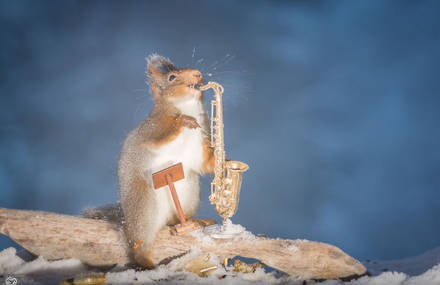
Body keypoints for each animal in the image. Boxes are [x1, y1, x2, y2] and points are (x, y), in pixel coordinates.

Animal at [116, 54, 214, 268]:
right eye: (171, 77)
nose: (198, 73)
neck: (187, 106)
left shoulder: (198, 145)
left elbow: (204, 163)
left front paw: (224, 159)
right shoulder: (152, 129)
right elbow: (161, 136)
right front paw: (183, 121)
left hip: (189, 191)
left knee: (177, 219)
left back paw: (197, 222)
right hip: (144, 204)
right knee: (140, 247)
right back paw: (147, 262)